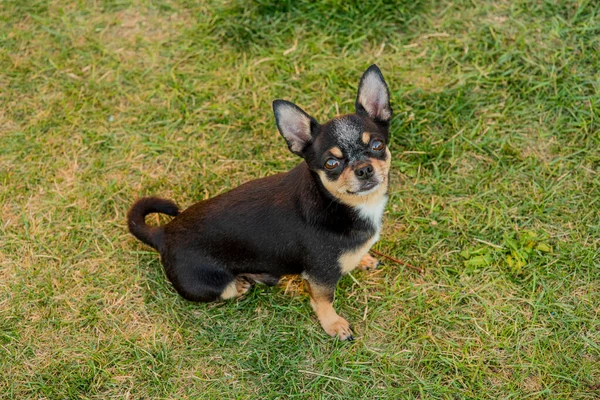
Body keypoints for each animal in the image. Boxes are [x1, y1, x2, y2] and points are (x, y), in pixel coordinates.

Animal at [127, 64, 392, 340]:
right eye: (331, 163)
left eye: (377, 145)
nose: (364, 169)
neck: (336, 203)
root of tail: (163, 234)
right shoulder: (320, 276)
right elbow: (323, 300)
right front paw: (334, 325)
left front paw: (363, 258)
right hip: (206, 285)